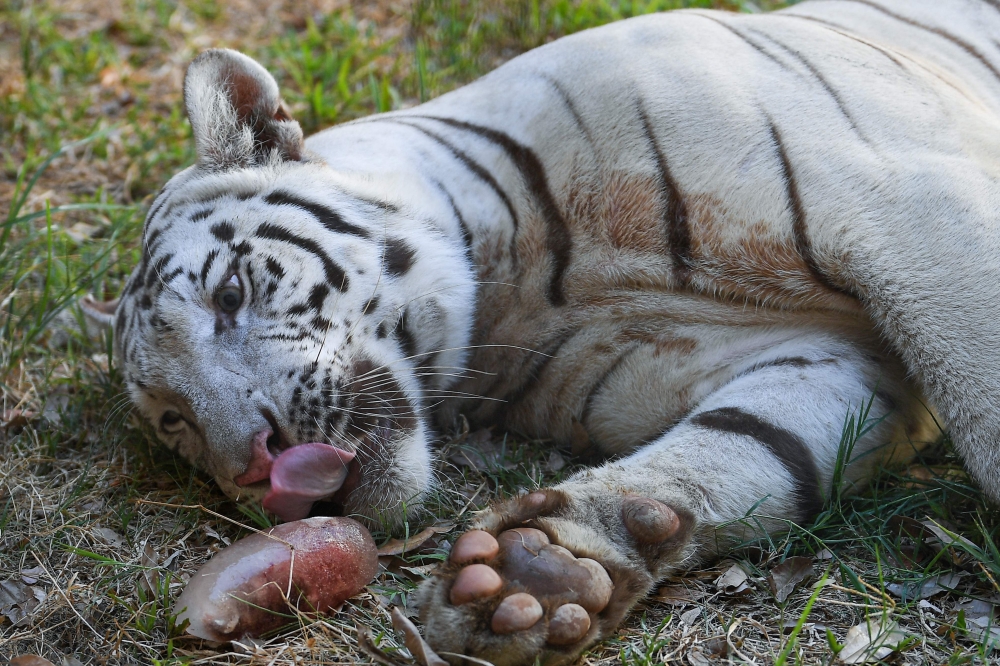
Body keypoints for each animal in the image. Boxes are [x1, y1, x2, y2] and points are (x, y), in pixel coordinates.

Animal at [89, 0, 1000, 662]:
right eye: (175, 423)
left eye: (230, 293)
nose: (257, 463)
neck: (520, 280)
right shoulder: (830, 358)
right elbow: (745, 447)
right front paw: (542, 571)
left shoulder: (903, 204)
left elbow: (981, 394)